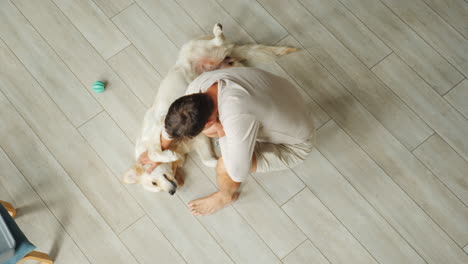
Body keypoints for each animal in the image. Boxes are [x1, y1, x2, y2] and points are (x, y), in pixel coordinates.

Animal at [121, 24, 296, 194]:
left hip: (198, 48)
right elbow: (206, 160)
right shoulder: (199, 138)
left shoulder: (163, 123)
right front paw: (219, 162)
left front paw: (167, 155)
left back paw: (217, 31)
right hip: (229, 69)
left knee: (218, 42)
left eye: (154, 182)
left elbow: (155, 151)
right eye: (157, 188)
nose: (172, 192)